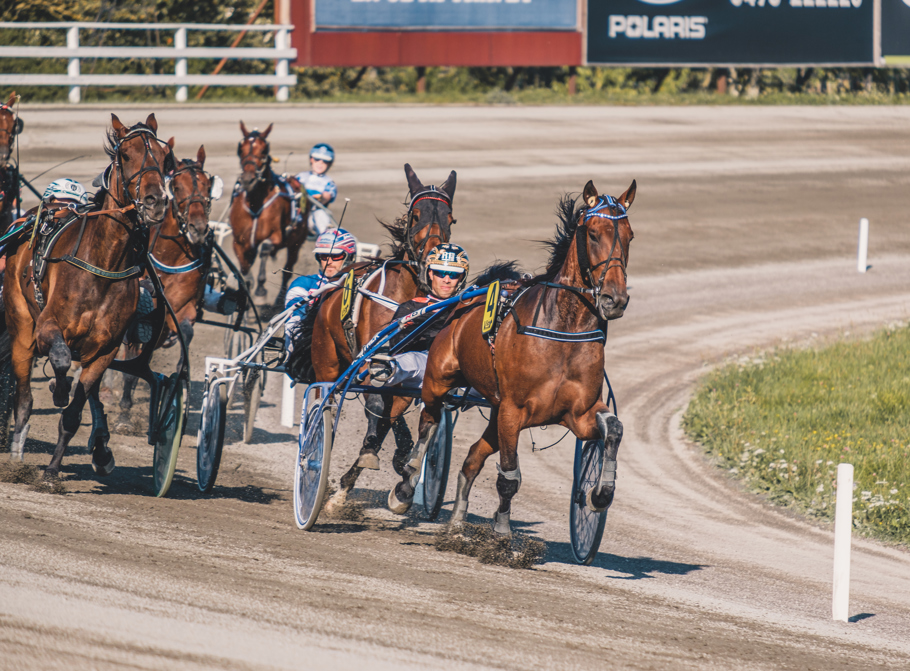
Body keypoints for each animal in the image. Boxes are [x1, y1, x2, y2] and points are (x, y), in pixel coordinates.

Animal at [4, 114, 173, 478]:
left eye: (165, 157)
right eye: (126, 154)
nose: (155, 200)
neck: (103, 264)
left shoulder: (106, 349)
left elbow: (74, 411)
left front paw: (52, 471)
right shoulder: (48, 327)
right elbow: (60, 358)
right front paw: (58, 388)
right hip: (20, 326)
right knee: (23, 399)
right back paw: (16, 454)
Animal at [230, 122, 308, 304]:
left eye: (264, 149)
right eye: (240, 148)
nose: (248, 179)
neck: (255, 203)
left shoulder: (277, 236)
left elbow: (265, 248)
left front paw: (260, 289)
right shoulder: (240, 242)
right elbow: (245, 270)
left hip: (296, 243)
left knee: (287, 270)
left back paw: (280, 299)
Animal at [308, 165, 456, 512]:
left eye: (450, 218)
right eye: (416, 215)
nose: (433, 258)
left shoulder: (409, 370)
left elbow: (392, 417)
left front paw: (399, 471)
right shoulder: (370, 359)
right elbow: (377, 404)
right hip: (327, 360)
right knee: (328, 398)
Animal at [388, 180, 636, 536]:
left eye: (630, 235)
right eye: (592, 233)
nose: (614, 299)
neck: (561, 332)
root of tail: (463, 304)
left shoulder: (577, 413)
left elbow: (612, 428)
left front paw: (599, 494)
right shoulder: (512, 410)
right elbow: (509, 477)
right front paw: (502, 530)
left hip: (493, 412)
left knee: (471, 458)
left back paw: (456, 521)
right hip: (439, 379)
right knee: (429, 422)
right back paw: (406, 483)